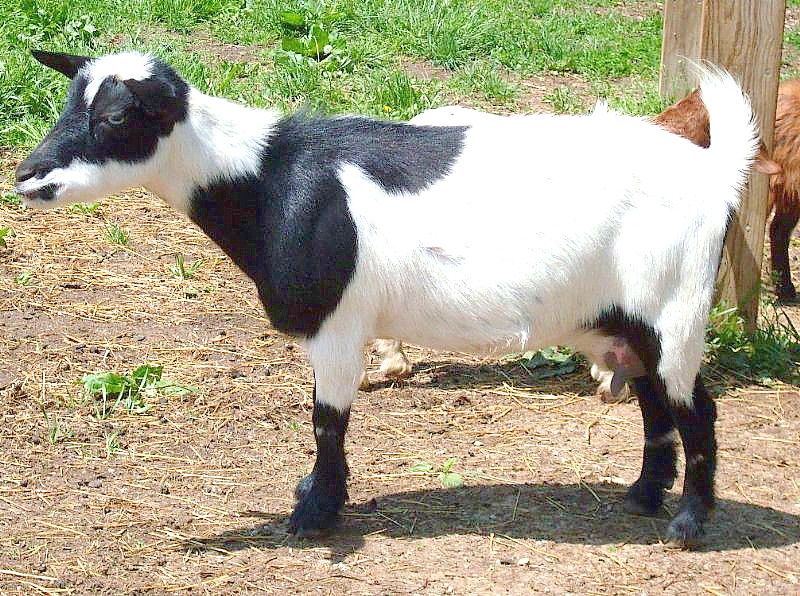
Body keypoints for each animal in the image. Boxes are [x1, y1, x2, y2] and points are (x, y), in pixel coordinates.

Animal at [16, 51, 759, 547]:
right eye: (67, 104)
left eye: (117, 116)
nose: (27, 174)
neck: (270, 179)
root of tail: (715, 171)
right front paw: (315, 502)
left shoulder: (339, 327)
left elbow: (327, 422)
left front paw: (314, 514)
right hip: (629, 320)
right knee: (656, 403)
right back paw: (642, 498)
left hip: (676, 311)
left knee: (697, 409)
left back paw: (689, 524)